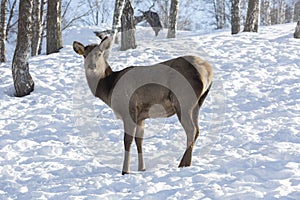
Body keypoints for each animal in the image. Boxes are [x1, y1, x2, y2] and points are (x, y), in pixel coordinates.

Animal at [73, 36, 213, 175]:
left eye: (99, 54)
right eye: (85, 55)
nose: (92, 66)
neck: (109, 89)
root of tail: (208, 71)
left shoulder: (129, 109)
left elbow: (127, 140)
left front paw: (125, 171)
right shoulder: (141, 116)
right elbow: (139, 140)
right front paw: (142, 168)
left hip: (183, 100)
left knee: (191, 129)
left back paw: (184, 163)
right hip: (197, 103)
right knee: (197, 129)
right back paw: (184, 162)